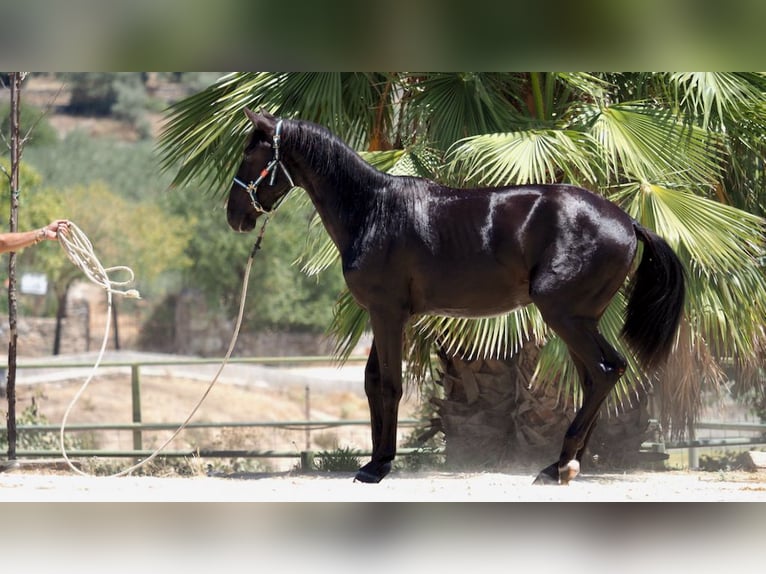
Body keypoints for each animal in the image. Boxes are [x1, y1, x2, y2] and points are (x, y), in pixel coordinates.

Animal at [225, 108, 688, 486]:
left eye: (252, 156)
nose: (234, 217)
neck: (373, 210)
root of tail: (627, 221)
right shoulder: (381, 314)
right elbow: (372, 382)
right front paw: (373, 461)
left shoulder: (388, 314)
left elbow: (389, 384)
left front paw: (379, 467)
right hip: (581, 319)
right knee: (598, 375)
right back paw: (563, 465)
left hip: (564, 315)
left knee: (606, 370)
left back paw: (558, 466)